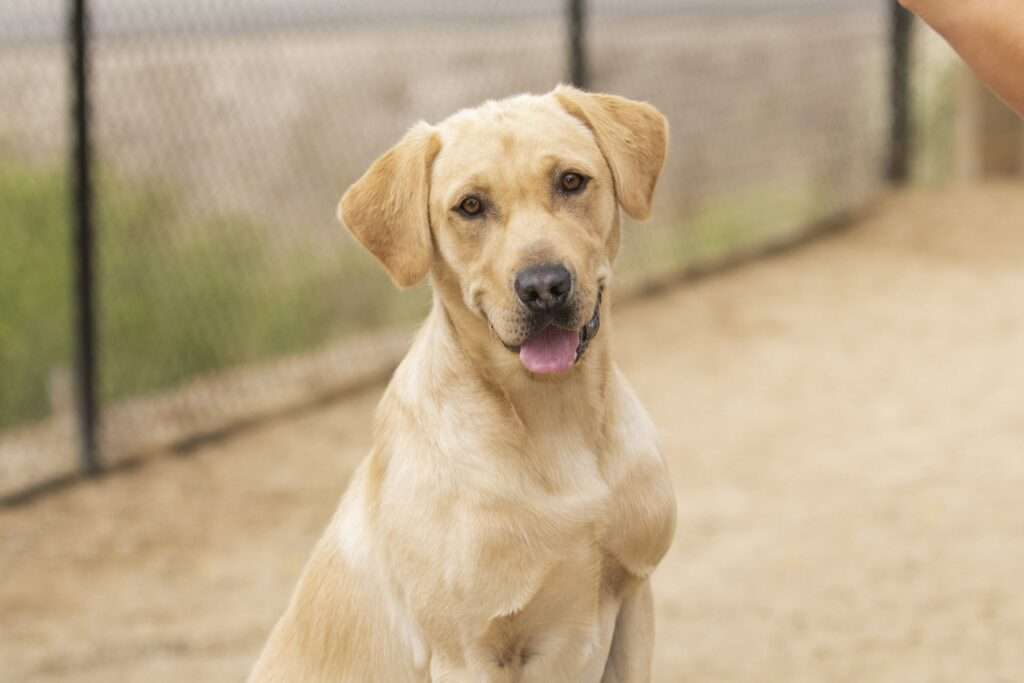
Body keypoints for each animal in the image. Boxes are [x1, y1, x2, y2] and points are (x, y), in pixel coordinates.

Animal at [248, 87, 675, 683]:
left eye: (571, 181)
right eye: (471, 206)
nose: (544, 286)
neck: (555, 421)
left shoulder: (635, 597)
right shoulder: (468, 654)